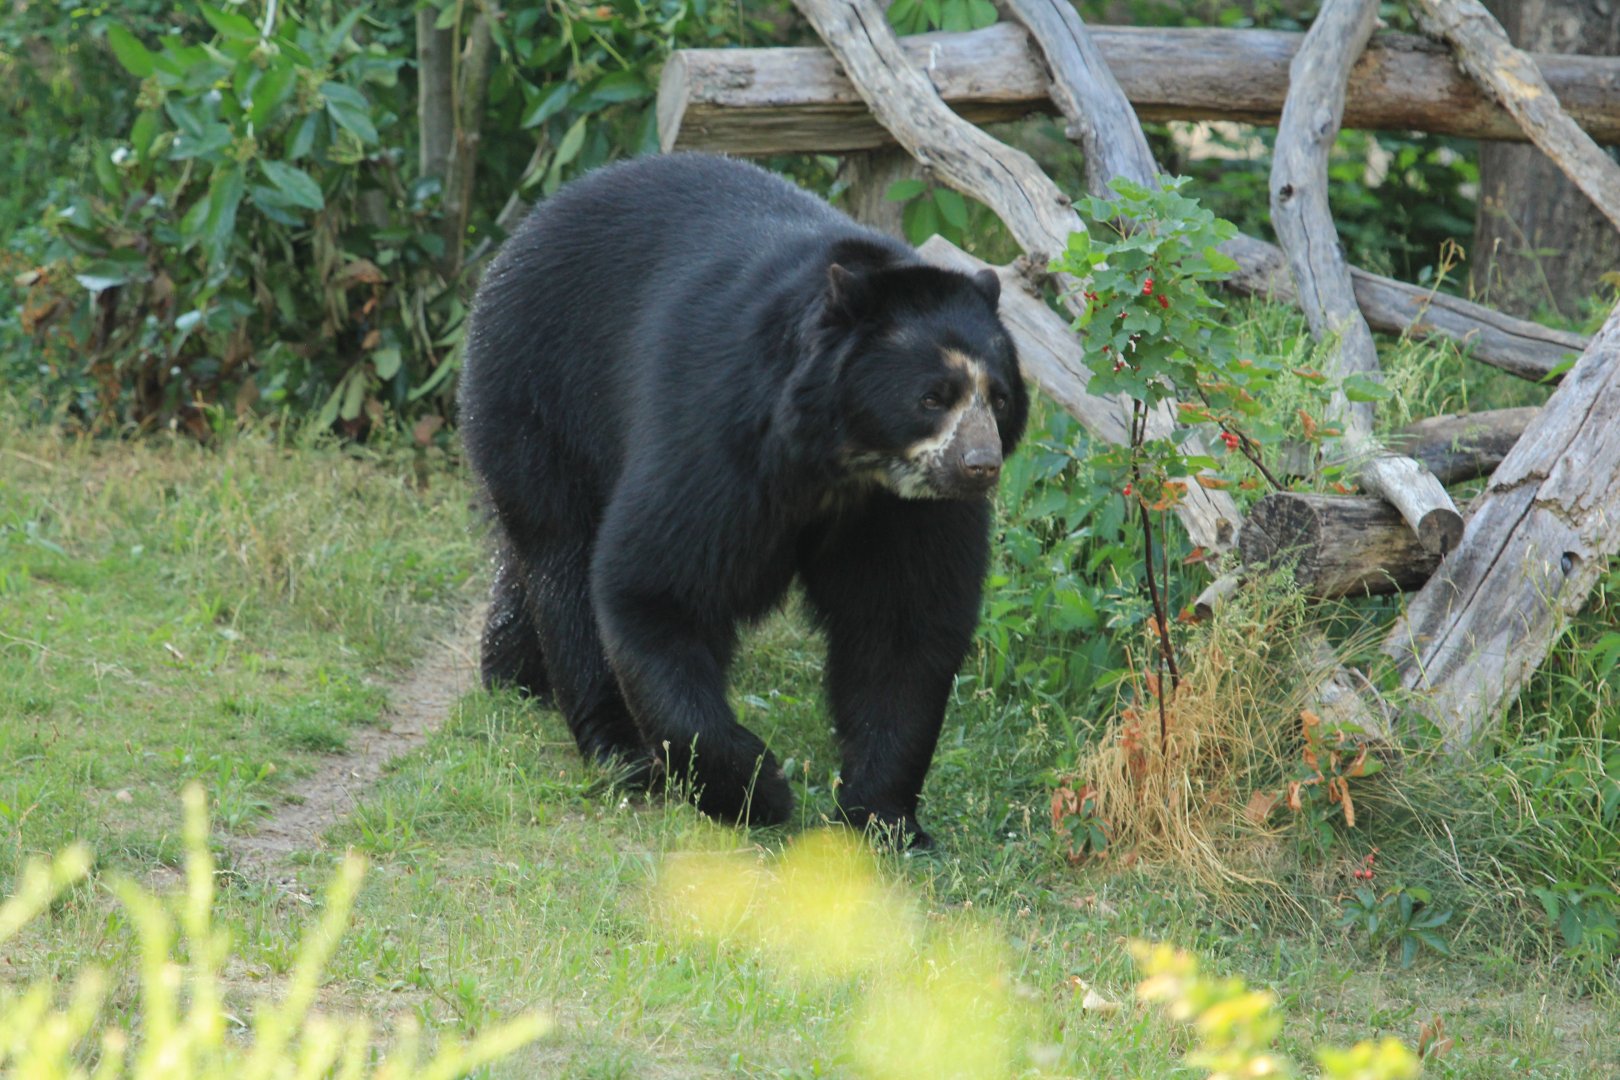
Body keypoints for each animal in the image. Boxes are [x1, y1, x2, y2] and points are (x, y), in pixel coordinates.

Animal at [457, 153, 1027, 848]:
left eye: (999, 397)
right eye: (932, 397)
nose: (980, 467)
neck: (840, 463)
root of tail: (531, 223)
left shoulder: (905, 512)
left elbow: (904, 623)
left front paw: (883, 817)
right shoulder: (719, 438)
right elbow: (655, 585)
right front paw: (758, 789)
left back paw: (514, 675)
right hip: (541, 397)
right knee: (561, 559)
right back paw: (616, 748)